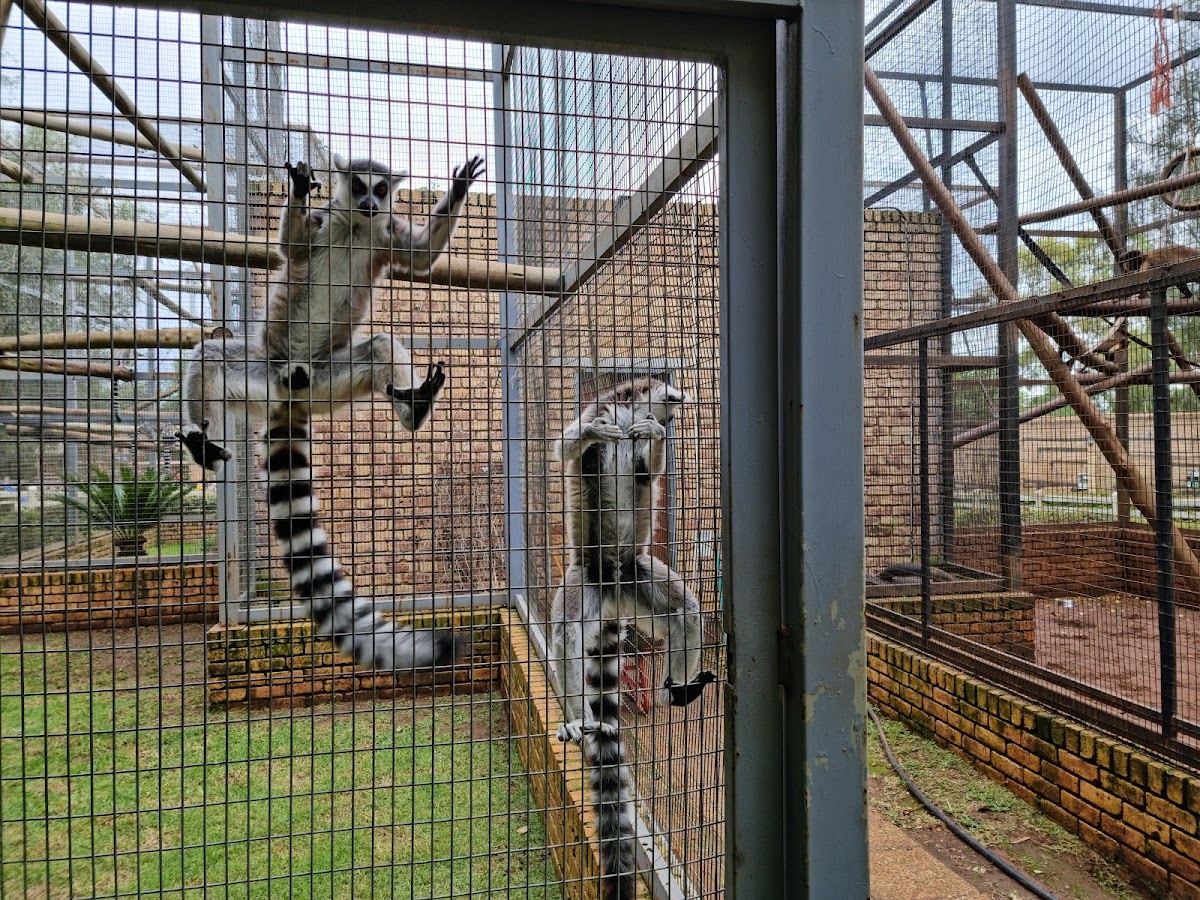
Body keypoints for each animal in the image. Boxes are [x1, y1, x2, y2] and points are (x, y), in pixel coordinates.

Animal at [178, 151, 485, 472]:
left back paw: (418, 406)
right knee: (211, 356)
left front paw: (460, 186)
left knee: (381, 348)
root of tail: (292, 394)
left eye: (381, 188)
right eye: (359, 185)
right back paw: (204, 450)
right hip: (268, 373)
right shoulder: (323, 218)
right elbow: (292, 246)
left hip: (327, 384)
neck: (356, 225)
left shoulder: (386, 234)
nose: (369, 205)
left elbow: (422, 253)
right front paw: (300, 187)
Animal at [547, 377, 715, 900]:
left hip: (641, 579)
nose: (677, 409)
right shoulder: (599, 408)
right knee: (566, 637)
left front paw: (655, 438)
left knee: (685, 612)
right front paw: (592, 434)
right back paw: (577, 719)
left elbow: (647, 470)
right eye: (672, 395)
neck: (630, 411)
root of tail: (615, 587)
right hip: (587, 580)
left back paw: (674, 691)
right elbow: (566, 447)